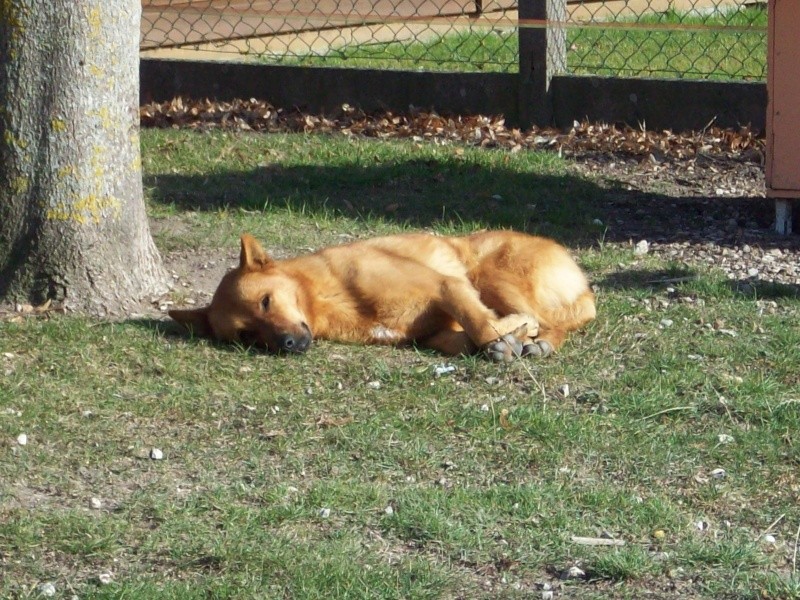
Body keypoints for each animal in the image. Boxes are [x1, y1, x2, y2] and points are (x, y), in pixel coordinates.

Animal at [169, 230, 592, 360]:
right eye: (246, 335)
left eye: (266, 301)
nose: (287, 344)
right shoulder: (433, 332)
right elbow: (464, 337)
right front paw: (503, 340)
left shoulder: (448, 286)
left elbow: (482, 325)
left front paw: (507, 335)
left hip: (489, 273)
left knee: (548, 321)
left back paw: (535, 338)